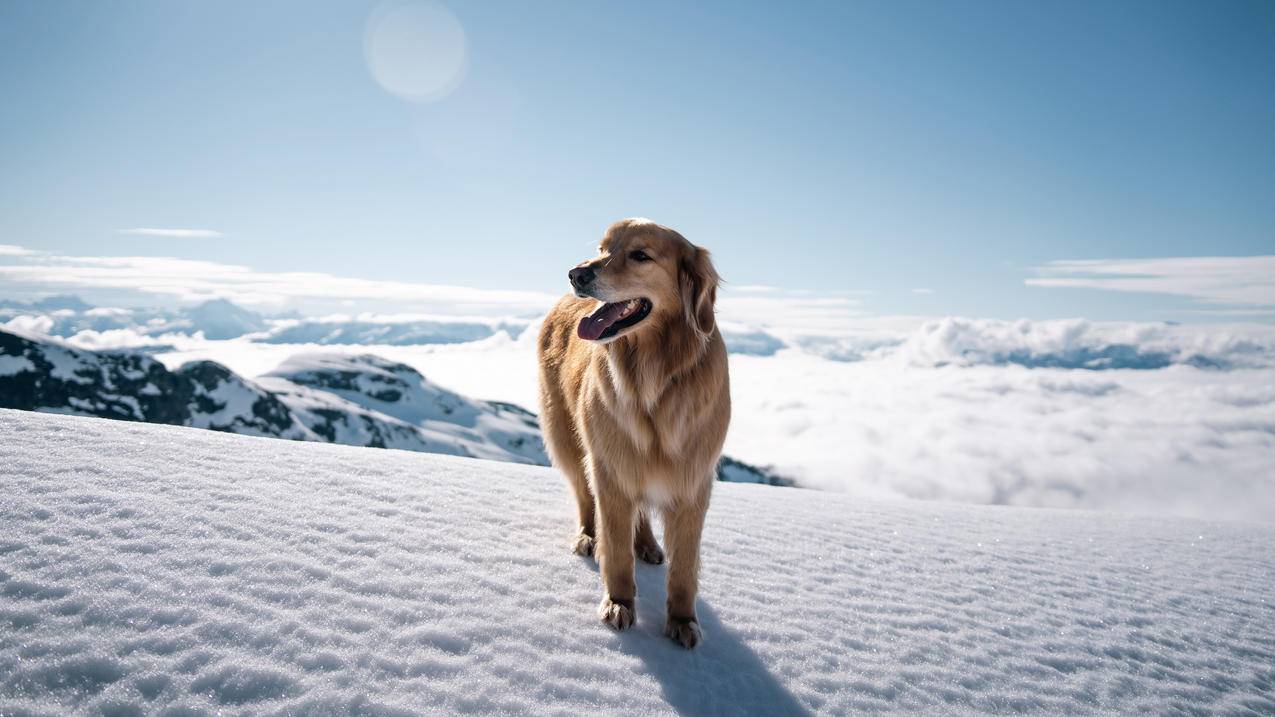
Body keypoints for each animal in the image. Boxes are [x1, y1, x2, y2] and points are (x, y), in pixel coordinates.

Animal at [532, 218, 729, 648]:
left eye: (640, 255)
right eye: (603, 249)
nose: (575, 274)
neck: (653, 378)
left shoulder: (693, 481)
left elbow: (685, 565)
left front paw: (684, 620)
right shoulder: (610, 468)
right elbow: (617, 549)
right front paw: (618, 603)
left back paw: (649, 545)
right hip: (570, 440)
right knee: (584, 497)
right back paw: (589, 537)